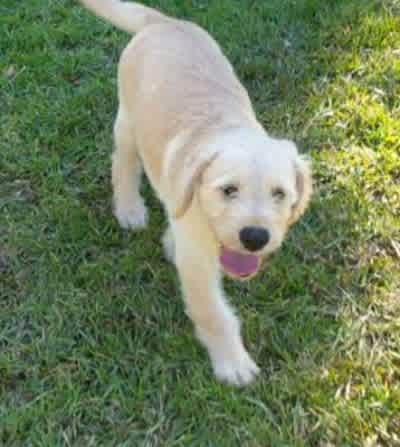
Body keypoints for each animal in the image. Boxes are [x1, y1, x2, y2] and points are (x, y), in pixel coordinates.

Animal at [79, 0, 312, 385]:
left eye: (279, 194)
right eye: (228, 190)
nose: (255, 237)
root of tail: (164, 22)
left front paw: (171, 242)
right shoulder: (200, 260)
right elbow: (213, 312)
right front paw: (233, 362)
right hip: (127, 120)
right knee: (123, 163)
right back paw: (129, 209)